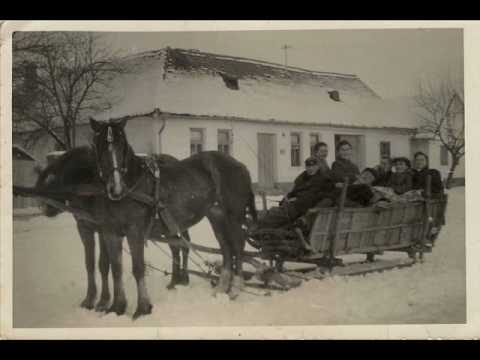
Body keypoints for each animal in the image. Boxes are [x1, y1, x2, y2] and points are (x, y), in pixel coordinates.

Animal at [88, 114, 256, 320]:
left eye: (122, 145)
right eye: (100, 145)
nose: (116, 189)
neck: (133, 185)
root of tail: (240, 165)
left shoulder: (135, 232)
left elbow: (138, 268)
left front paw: (142, 309)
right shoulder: (110, 232)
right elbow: (116, 269)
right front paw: (117, 308)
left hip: (234, 216)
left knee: (238, 247)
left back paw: (235, 289)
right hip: (217, 216)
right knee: (226, 247)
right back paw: (221, 288)